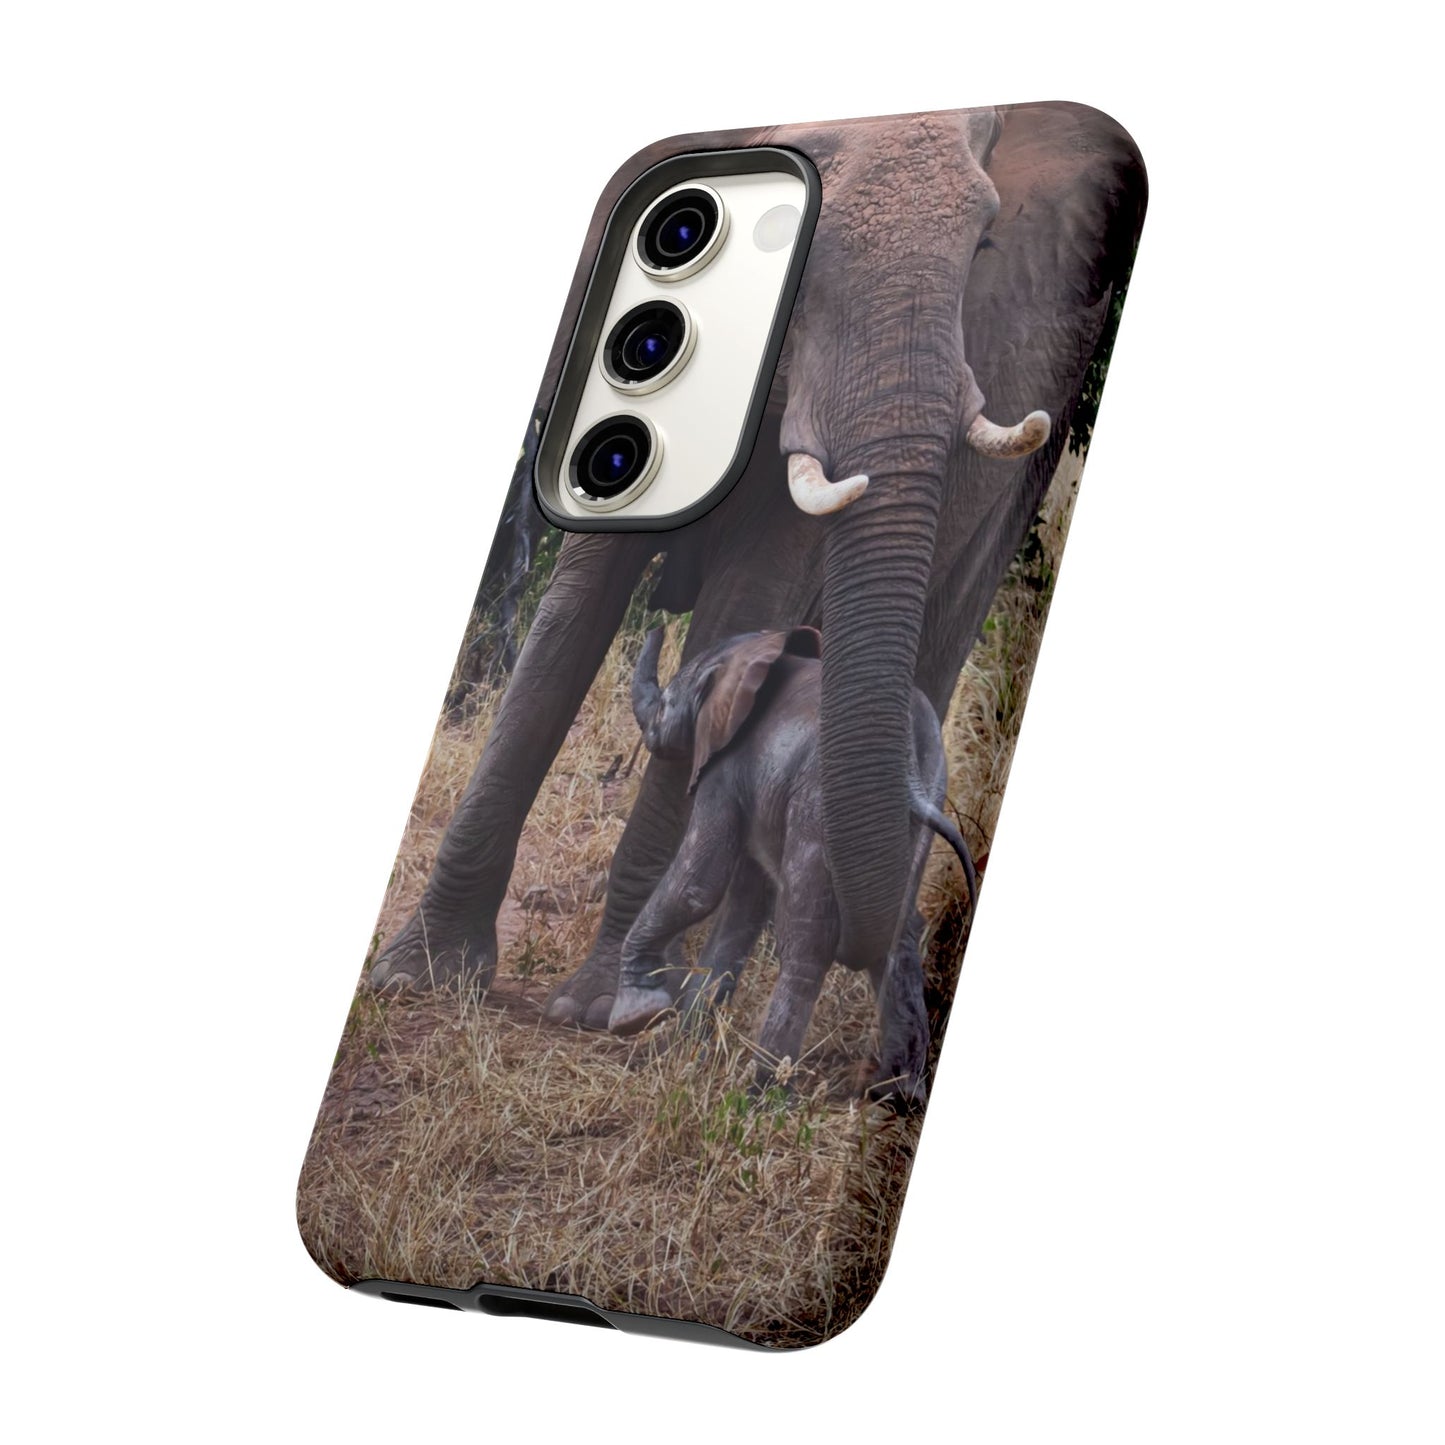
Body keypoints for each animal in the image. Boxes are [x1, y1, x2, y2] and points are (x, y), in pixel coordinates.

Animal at [368, 103, 1147, 1051]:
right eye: (798, 251)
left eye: (986, 246)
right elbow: (570, 621)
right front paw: (420, 976)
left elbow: (744, 601)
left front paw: (606, 1007)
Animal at [614, 625, 978, 1106]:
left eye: (667, 702)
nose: (656, 624)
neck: (752, 653)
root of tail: (911, 762)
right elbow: (743, 907)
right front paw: (683, 1049)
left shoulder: (727, 769)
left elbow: (699, 885)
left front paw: (636, 1014)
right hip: (917, 811)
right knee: (897, 935)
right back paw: (898, 1094)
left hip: (820, 804)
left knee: (808, 938)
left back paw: (761, 1093)